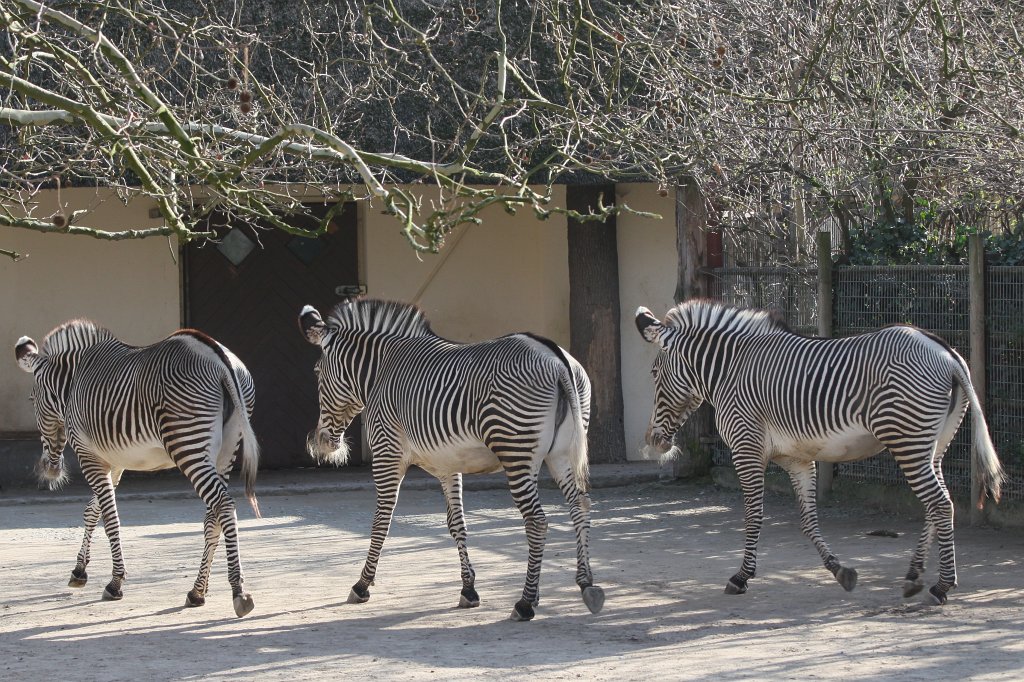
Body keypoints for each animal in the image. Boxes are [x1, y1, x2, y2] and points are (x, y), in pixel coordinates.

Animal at [15, 319, 261, 617]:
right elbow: (92, 511)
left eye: (31, 399)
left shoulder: (89, 456)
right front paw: (79, 571)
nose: (49, 470)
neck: (72, 384)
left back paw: (239, 591)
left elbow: (110, 518)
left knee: (223, 505)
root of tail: (219, 357)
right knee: (213, 516)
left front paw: (115, 582)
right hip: (227, 449)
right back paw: (197, 592)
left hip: (188, 443)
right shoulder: (113, 462)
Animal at [298, 299, 604, 621]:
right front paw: (468, 589)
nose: (322, 442)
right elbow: (457, 523)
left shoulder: (386, 453)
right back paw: (586, 584)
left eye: (316, 372)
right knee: (580, 505)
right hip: (560, 454)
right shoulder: (447, 465)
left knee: (537, 521)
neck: (379, 373)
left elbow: (382, 520)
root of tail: (555, 357)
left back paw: (525, 602)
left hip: (516, 450)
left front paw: (362, 585)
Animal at [634, 300, 1003, 605]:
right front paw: (840, 571)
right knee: (936, 505)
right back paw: (914, 576)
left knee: (941, 504)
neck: (730, 370)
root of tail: (945, 352)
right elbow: (808, 520)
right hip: (934, 445)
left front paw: (741, 577)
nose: (653, 440)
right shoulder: (797, 458)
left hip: (908, 440)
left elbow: (754, 515)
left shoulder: (746, 447)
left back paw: (942, 585)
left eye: (654, 374)